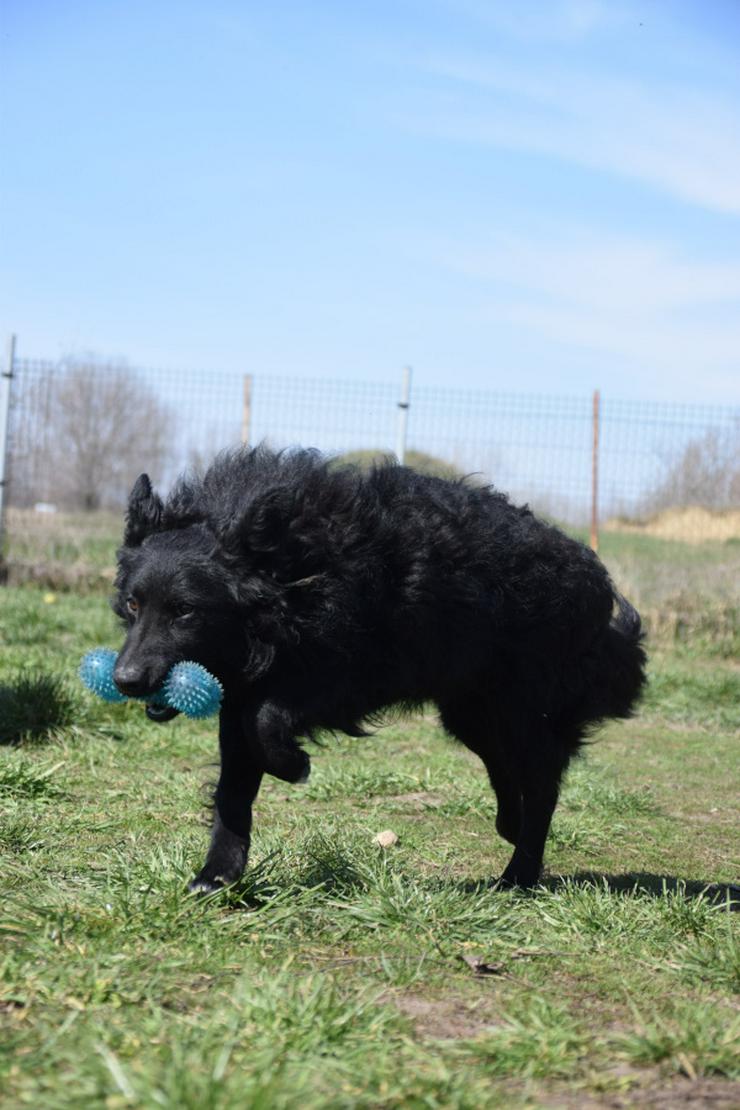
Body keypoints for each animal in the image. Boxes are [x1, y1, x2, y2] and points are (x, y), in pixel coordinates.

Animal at [113, 446, 643, 888]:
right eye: (134, 604)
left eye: (185, 611)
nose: (126, 680)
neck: (293, 576)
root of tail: (595, 578)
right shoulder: (241, 687)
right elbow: (233, 785)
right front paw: (218, 875)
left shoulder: (351, 676)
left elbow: (263, 720)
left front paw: (294, 766)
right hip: (471, 711)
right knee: (504, 768)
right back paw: (509, 827)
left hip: (520, 708)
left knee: (542, 782)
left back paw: (520, 873)